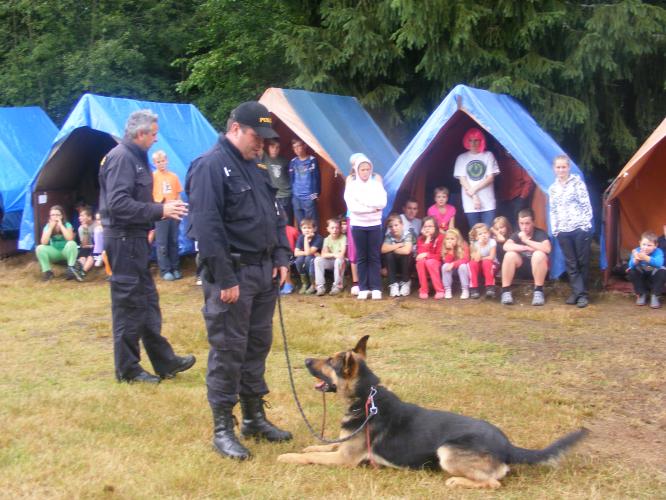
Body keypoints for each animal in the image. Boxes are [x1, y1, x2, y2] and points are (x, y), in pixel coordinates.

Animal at [276, 336, 588, 488]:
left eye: (330, 361)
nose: (305, 360)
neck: (366, 396)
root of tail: (508, 445)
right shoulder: (342, 448)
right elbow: (320, 447)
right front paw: (306, 447)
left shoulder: (345, 459)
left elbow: (314, 457)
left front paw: (288, 456)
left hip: (446, 451)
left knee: (493, 483)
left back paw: (457, 481)